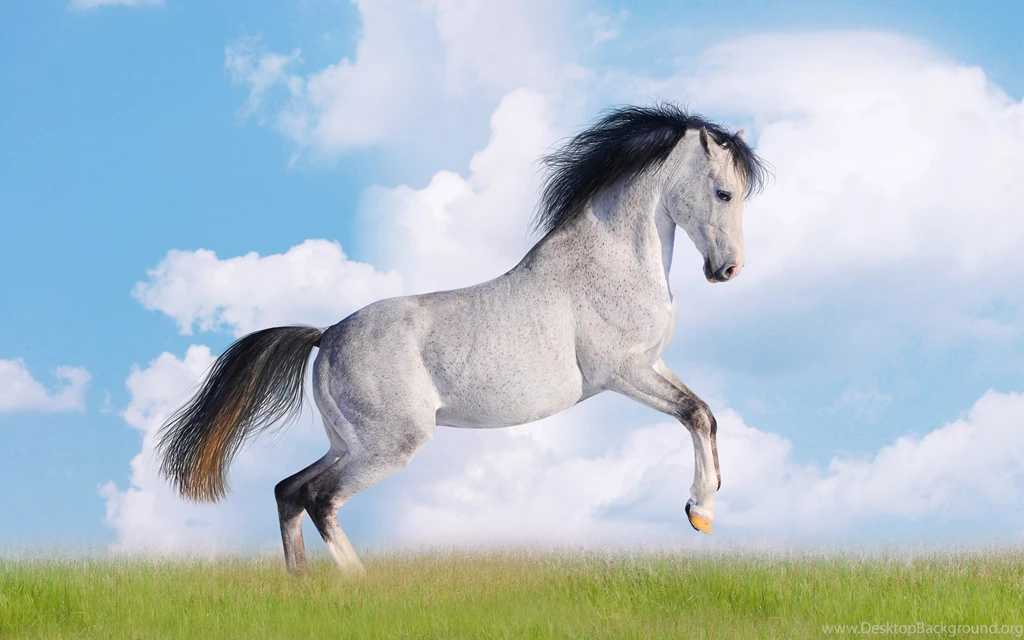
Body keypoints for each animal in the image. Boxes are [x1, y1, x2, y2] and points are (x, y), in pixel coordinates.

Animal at [157, 104, 769, 575]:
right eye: (723, 193)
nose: (727, 270)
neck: (611, 260)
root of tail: (326, 336)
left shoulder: (651, 365)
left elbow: (706, 413)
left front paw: (704, 511)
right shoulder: (622, 372)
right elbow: (694, 414)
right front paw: (700, 511)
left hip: (349, 442)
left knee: (288, 490)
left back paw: (301, 586)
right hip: (389, 445)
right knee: (318, 498)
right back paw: (358, 587)